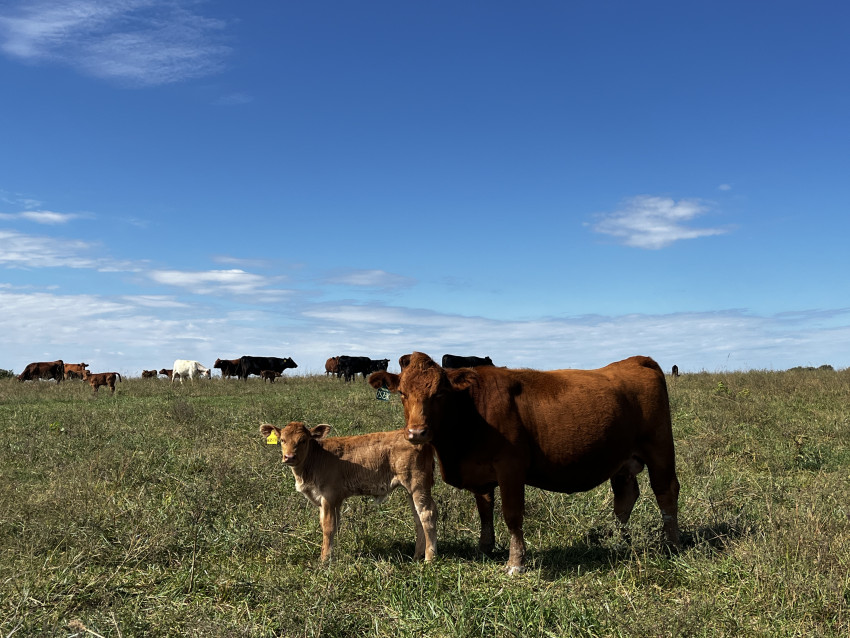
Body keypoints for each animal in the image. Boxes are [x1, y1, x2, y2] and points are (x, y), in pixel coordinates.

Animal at [260, 421, 437, 563]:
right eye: (282, 440)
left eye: (303, 440)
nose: (289, 457)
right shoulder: (329, 500)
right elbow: (330, 524)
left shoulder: (329, 496)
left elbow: (328, 527)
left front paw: (324, 560)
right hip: (411, 490)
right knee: (418, 518)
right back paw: (417, 555)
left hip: (417, 484)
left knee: (427, 515)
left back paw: (429, 559)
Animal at [368, 352, 680, 575]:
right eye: (402, 394)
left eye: (439, 394)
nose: (416, 433)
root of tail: (637, 360)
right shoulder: (481, 473)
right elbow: (485, 511)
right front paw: (485, 548)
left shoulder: (511, 469)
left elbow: (511, 514)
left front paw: (515, 562)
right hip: (622, 460)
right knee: (625, 498)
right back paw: (616, 540)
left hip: (660, 450)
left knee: (666, 492)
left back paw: (671, 544)